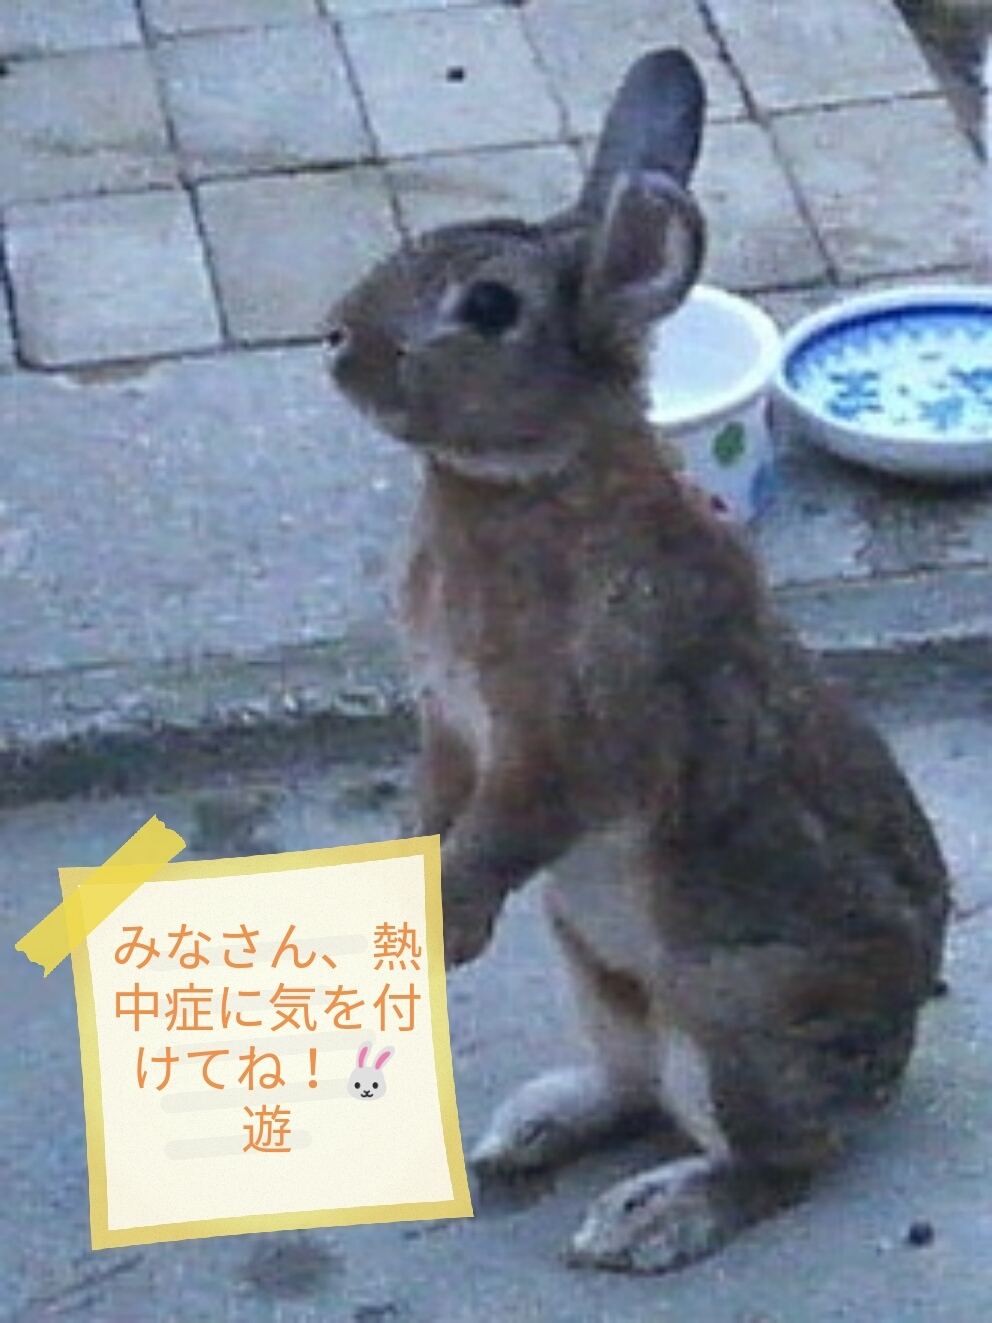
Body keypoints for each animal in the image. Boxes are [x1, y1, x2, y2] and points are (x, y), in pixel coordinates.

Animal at [325, 48, 951, 1273]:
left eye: (488, 308)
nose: (336, 339)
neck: (532, 481)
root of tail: (890, 1060)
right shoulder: (449, 725)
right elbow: (435, 805)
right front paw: (407, 896)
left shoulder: (567, 739)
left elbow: (503, 829)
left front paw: (450, 928)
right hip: (597, 968)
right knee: (635, 1086)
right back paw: (529, 1130)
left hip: (735, 1021)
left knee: (779, 1160)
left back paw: (648, 1219)